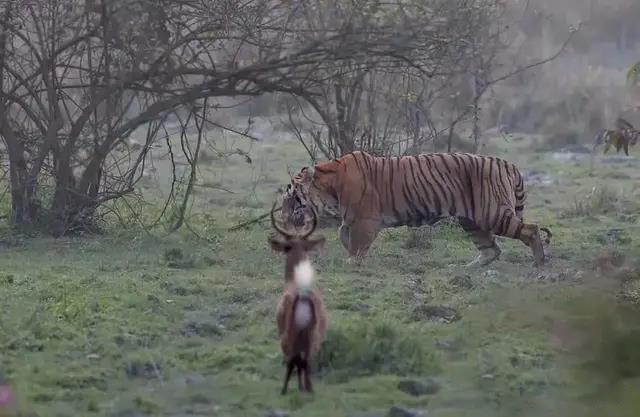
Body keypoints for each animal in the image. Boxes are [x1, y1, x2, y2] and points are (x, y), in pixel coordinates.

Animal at [270, 202, 330, 394]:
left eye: (286, 247)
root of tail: (303, 298)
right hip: (314, 334)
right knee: (306, 362)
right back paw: (308, 389)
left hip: (288, 333)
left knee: (294, 361)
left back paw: (287, 389)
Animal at [282, 150, 552, 266]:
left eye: (293, 198)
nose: (283, 218)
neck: (331, 186)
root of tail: (508, 163)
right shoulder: (351, 219)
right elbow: (342, 233)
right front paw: (349, 253)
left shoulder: (365, 220)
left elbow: (357, 242)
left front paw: (353, 260)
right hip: (472, 221)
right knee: (492, 249)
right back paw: (470, 267)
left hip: (492, 213)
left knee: (531, 229)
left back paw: (539, 261)